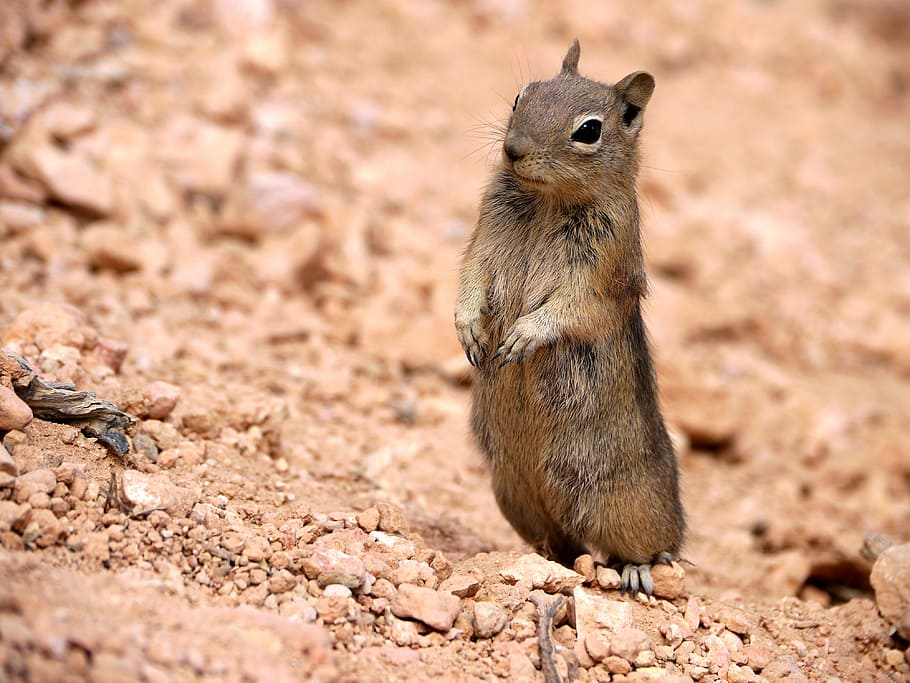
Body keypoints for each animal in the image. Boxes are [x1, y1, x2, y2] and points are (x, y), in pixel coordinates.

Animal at [455, 40, 685, 596]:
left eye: (589, 130)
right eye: (524, 93)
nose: (513, 148)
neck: (546, 199)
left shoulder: (597, 273)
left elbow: (570, 308)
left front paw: (521, 337)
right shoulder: (483, 238)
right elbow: (470, 278)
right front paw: (469, 329)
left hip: (627, 508)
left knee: (657, 546)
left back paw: (639, 570)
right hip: (513, 495)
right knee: (563, 543)